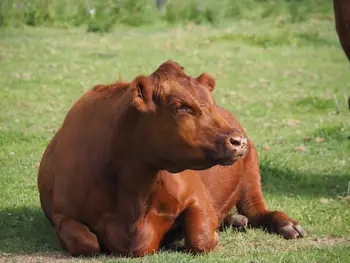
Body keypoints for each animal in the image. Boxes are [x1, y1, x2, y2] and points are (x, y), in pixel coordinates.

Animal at [37, 60, 302, 258]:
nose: (238, 141)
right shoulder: (62, 214)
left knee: (258, 210)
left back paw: (286, 224)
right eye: (180, 106)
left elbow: (201, 238)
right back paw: (235, 220)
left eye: (212, 103)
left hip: (252, 174)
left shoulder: (198, 197)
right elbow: (86, 243)